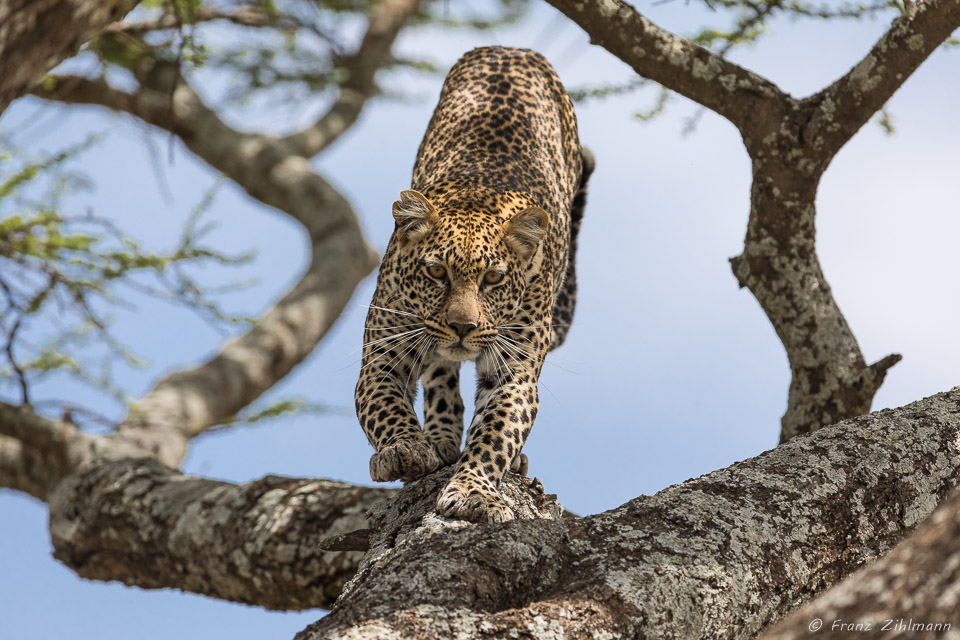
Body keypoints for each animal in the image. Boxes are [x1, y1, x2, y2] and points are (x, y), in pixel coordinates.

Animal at [354, 46, 592, 524]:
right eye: (436, 273)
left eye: (493, 279)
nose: (463, 326)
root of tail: (510, 48)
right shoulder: (383, 353)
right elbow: (383, 403)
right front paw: (406, 448)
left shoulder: (514, 372)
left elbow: (496, 434)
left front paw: (472, 490)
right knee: (439, 373)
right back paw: (440, 436)